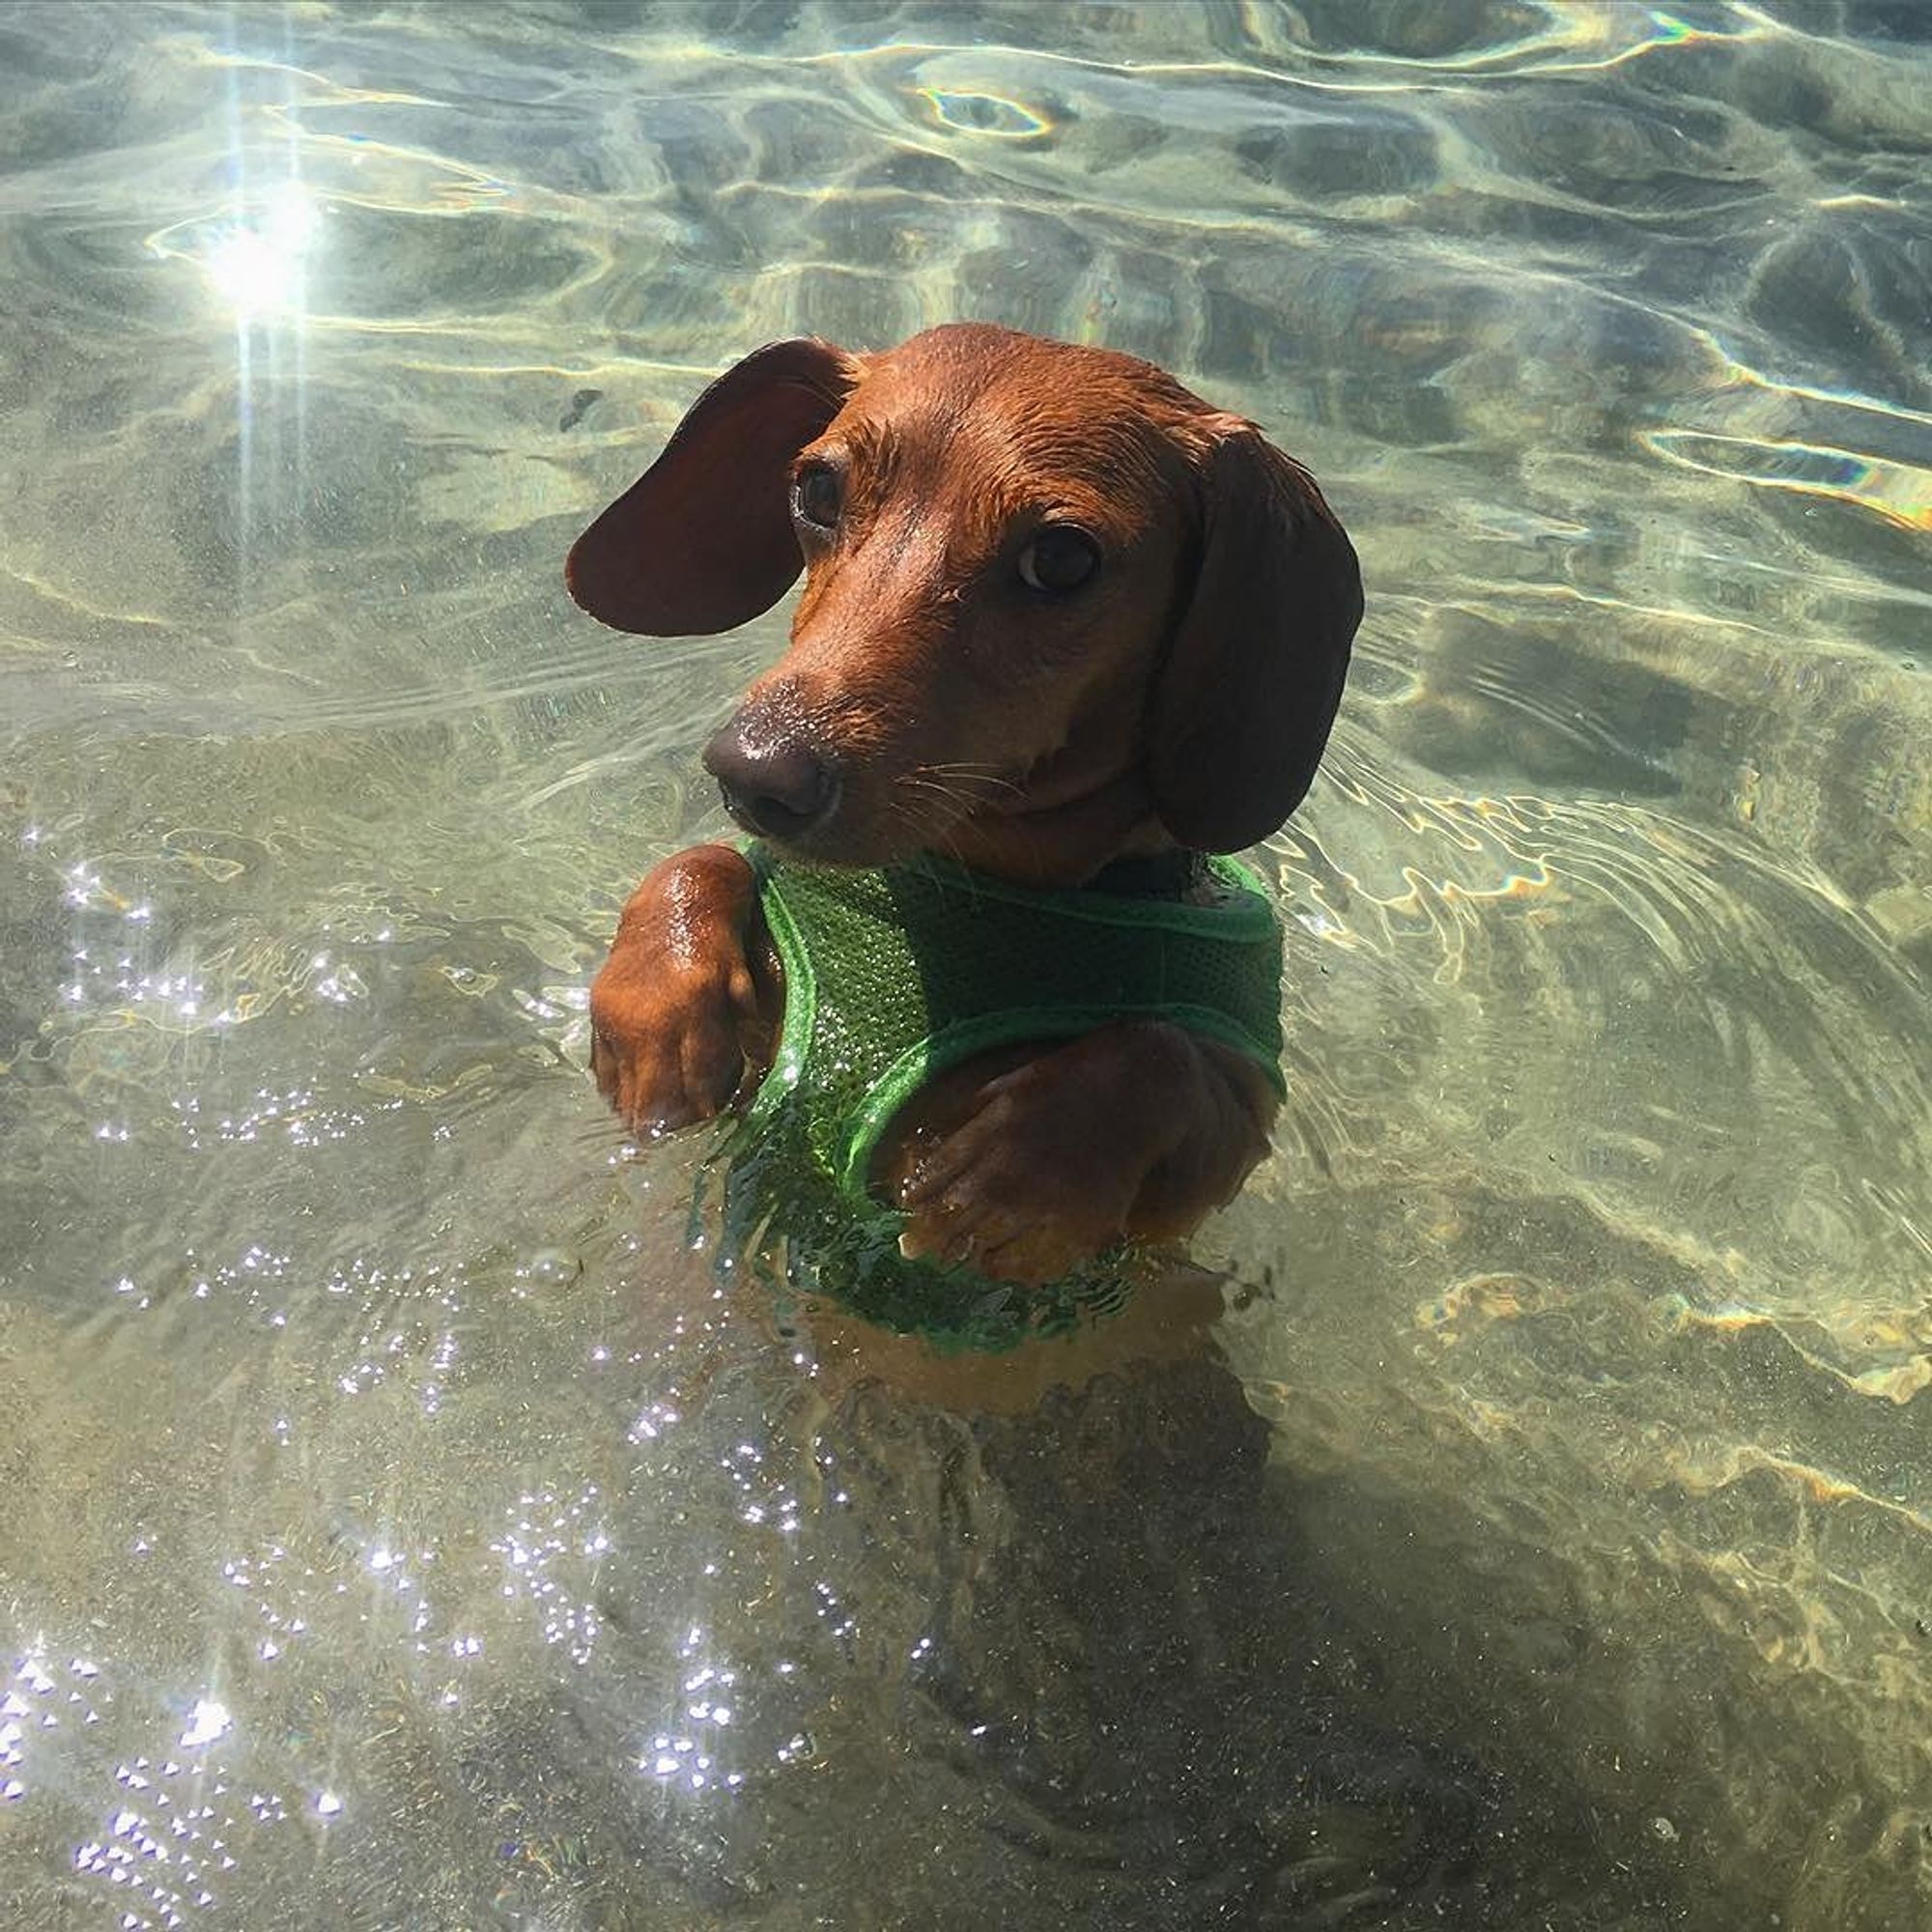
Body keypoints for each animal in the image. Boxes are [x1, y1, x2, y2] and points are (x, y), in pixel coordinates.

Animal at [568, 328, 1360, 1298]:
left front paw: (1017, 1173)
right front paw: (657, 1017)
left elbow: (1162, 1052)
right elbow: (701, 862)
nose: (754, 772)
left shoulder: (1222, 1148)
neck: (974, 881)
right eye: (816, 491)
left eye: (1062, 560)